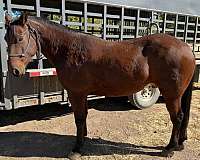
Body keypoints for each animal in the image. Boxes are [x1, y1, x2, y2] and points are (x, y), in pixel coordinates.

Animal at [4, 14, 195, 158]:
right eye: (6, 38)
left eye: (20, 37)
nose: (14, 70)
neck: (69, 49)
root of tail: (186, 47)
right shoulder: (82, 94)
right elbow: (84, 117)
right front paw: (84, 138)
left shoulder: (76, 93)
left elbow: (79, 118)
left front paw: (77, 148)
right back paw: (179, 144)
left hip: (172, 94)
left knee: (177, 117)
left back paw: (169, 148)